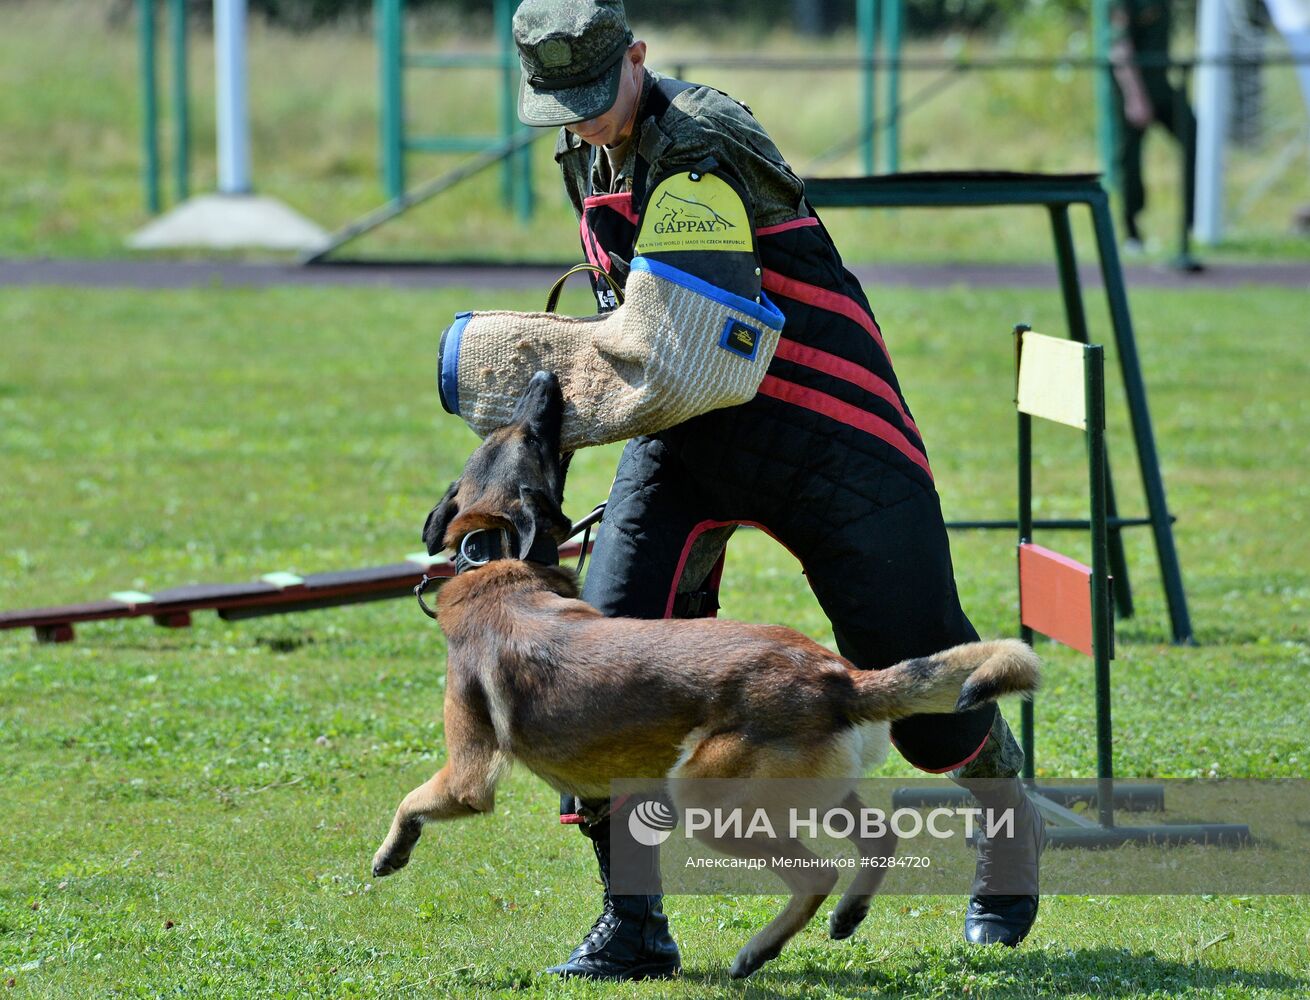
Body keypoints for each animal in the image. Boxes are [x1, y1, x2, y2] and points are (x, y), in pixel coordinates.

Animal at [374, 372, 1037, 975]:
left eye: (533, 434)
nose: (543, 378)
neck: (491, 558)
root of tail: (838, 680)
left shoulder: (469, 774)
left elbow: (413, 799)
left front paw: (389, 853)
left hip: (706, 795)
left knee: (817, 871)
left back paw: (758, 951)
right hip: (813, 789)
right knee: (879, 835)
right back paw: (845, 916)